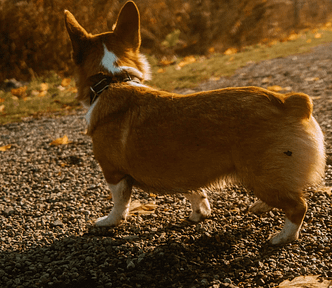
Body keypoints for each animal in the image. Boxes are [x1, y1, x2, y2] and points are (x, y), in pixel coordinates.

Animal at [64, 0, 324, 245]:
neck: (113, 80)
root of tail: (290, 101)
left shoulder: (113, 173)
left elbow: (120, 204)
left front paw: (109, 221)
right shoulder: (184, 172)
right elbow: (195, 193)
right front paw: (199, 214)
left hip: (261, 176)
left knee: (298, 206)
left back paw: (283, 237)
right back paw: (261, 207)